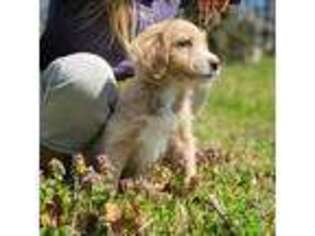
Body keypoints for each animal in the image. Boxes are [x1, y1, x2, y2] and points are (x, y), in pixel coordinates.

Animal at [94, 18, 222, 188]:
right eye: (184, 43)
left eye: (204, 44)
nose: (216, 63)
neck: (170, 90)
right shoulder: (120, 138)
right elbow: (113, 170)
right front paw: (105, 192)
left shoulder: (182, 136)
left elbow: (188, 161)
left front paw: (191, 184)